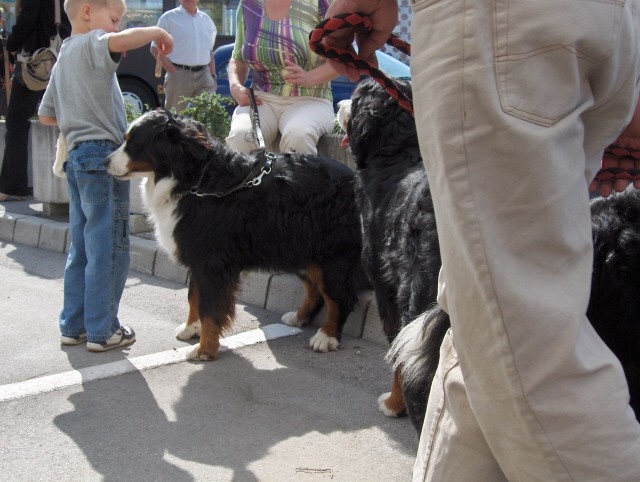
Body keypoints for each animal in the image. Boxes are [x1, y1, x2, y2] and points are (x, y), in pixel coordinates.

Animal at [105, 111, 364, 360]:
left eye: (133, 142)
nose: (104, 161)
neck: (196, 181)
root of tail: (354, 179)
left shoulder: (211, 262)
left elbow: (210, 309)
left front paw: (205, 350)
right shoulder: (198, 257)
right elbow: (193, 297)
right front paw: (191, 329)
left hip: (332, 257)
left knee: (339, 297)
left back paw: (327, 336)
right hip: (300, 249)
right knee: (315, 289)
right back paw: (298, 317)